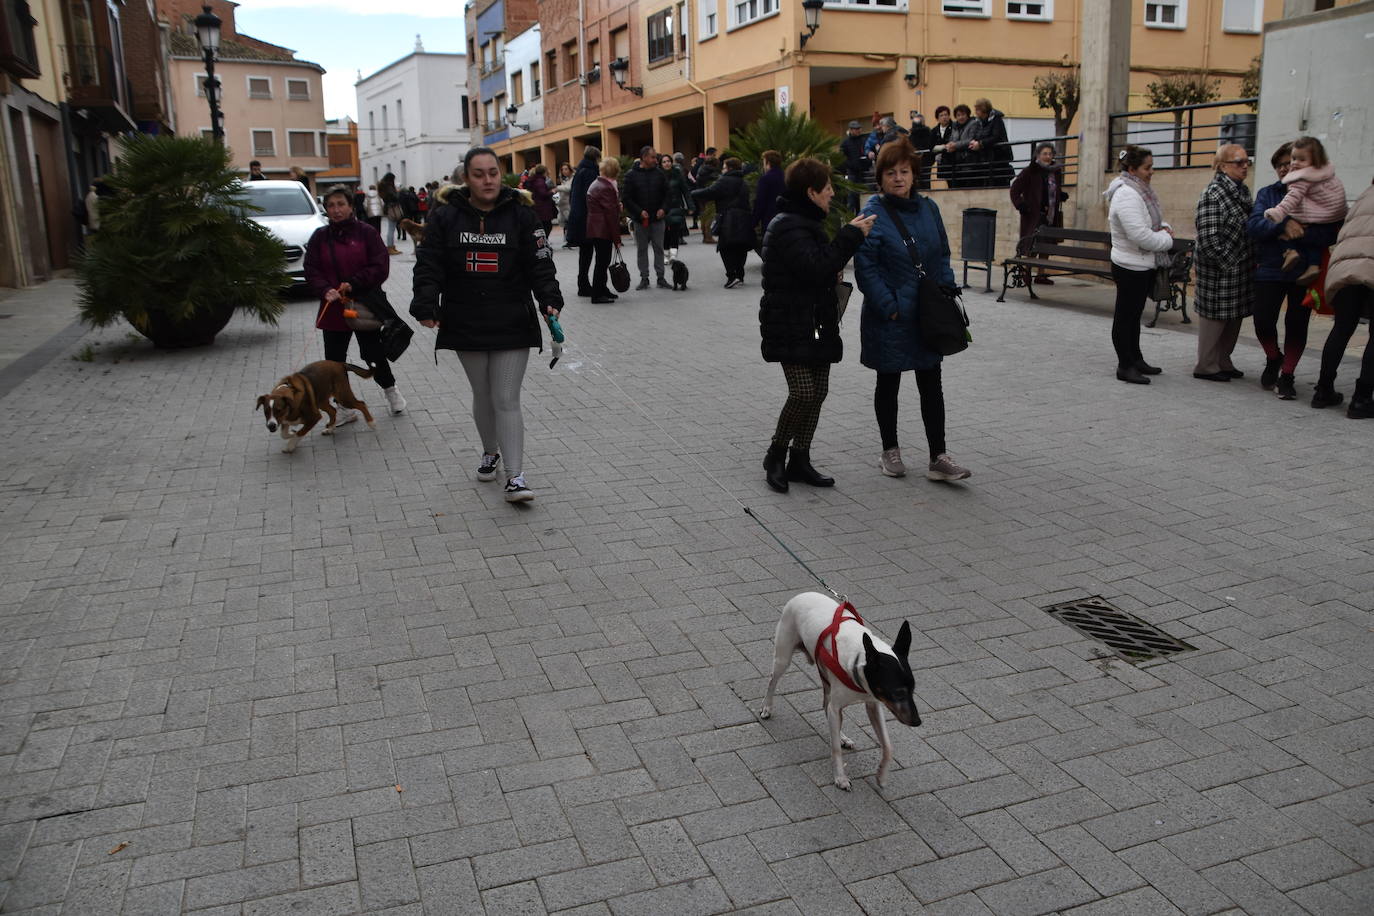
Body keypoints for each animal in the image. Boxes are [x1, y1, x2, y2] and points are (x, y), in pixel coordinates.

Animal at [763, 596, 923, 791]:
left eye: (913, 690)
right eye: (898, 693)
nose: (917, 722)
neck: (859, 661)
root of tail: (802, 594)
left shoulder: (873, 705)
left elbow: (888, 744)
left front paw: (882, 775)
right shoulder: (838, 705)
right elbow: (835, 749)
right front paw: (840, 777)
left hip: (825, 677)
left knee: (826, 706)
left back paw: (842, 737)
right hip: (783, 657)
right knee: (773, 681)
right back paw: (767, 707)